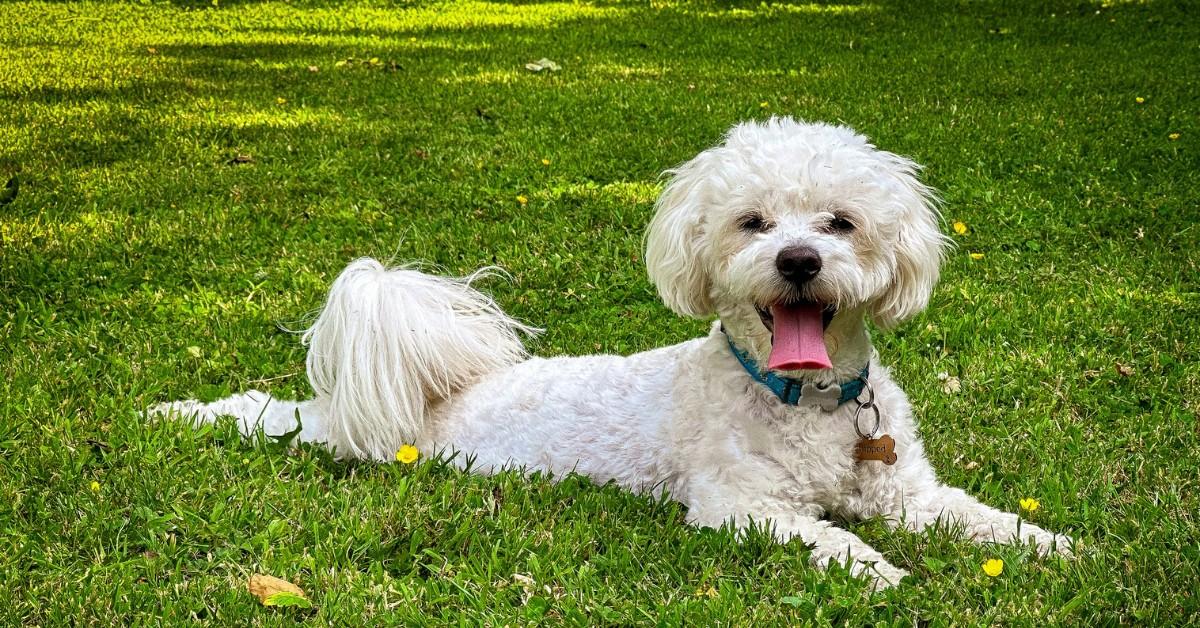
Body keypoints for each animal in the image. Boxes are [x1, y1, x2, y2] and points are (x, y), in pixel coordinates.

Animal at [154, 116, 1075, 590]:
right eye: (752, 222)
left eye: (839, 222)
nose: (798, 261)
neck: (805, 401)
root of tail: (438, 393)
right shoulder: (738, 506)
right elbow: (829, 537)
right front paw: (876, 568)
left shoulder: (909, 493)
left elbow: (975, 516)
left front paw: (1050, 545)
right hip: (348, 436)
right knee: (266, 412)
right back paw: (175, 410)